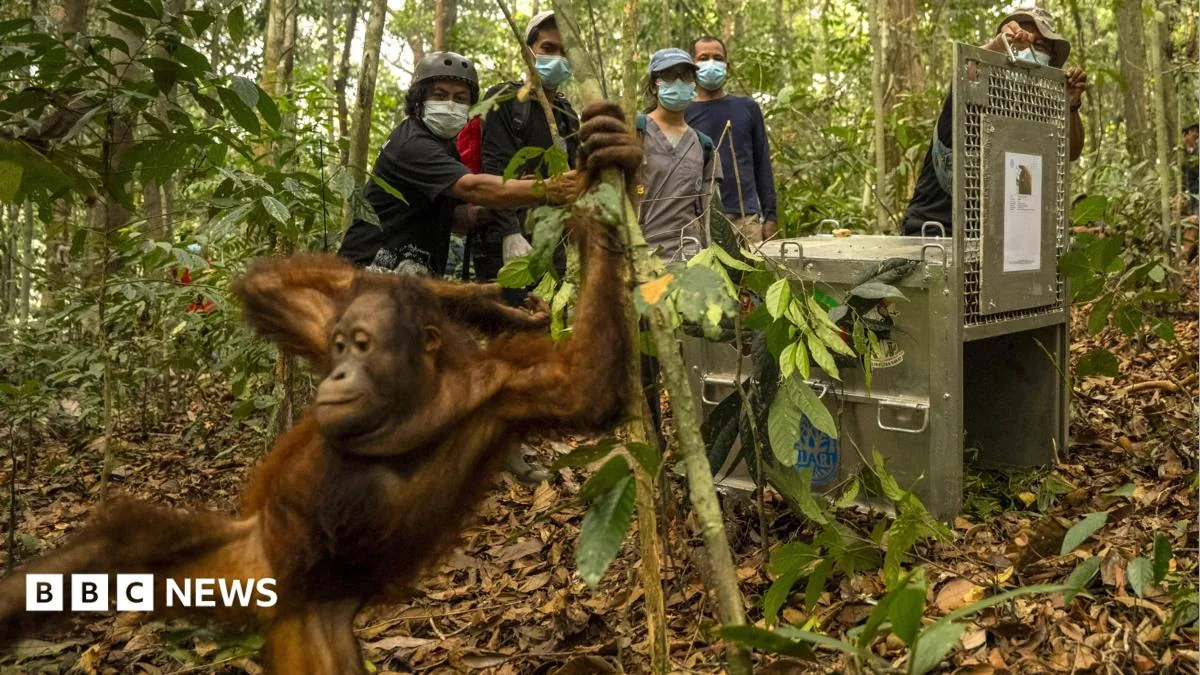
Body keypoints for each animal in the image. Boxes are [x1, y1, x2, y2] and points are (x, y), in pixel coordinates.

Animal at [0, 102, 643, 674]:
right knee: (124, 546)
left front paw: (600, 176)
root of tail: (266, 604)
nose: (337, 374)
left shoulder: (504, 390)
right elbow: (268, 286)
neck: (415, 400)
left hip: (294, 615)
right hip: (236, 558)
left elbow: (584, 384)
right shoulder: (324, 313)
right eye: (337, 346)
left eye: (361, 345)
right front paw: (493, 293)